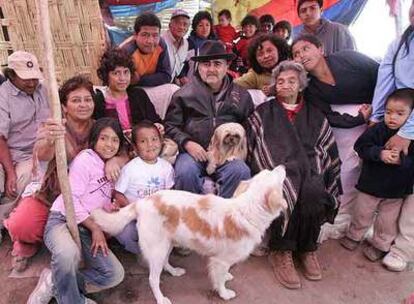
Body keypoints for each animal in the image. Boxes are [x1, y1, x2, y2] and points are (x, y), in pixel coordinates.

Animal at [93, 166, 288, 304]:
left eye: (269, 171)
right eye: (275, 175)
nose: (282, 166)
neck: (247, 210)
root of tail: (143, 202)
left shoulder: (222, 260)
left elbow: (223, 274)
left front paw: (226, 277)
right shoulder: (220, 260)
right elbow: (219, 281)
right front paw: (224, 293)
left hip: (167, 244)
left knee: (165, 263)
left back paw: (174, 271)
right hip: (157, 249)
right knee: (153, 279)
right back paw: (160, 299)